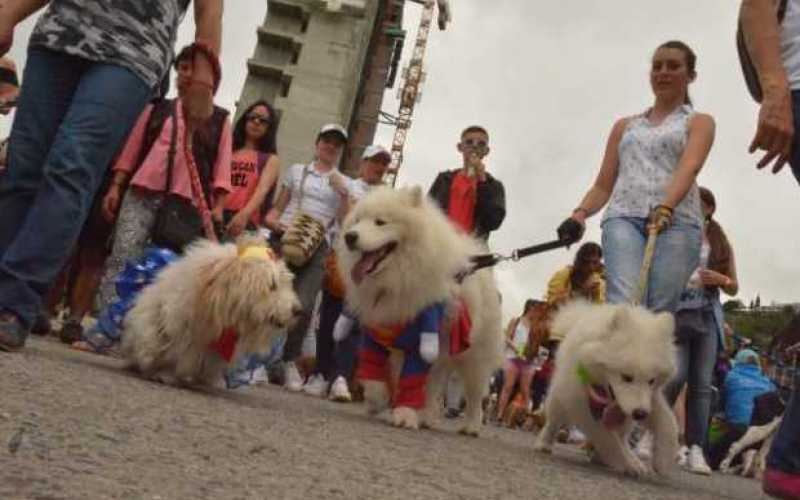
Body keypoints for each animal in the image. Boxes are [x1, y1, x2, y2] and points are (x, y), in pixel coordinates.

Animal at [336, 186, 500, 436]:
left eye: (380, 222)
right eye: (357, 221)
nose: (350, 237)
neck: (395, 282)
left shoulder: (422, 342)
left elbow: (413, 381)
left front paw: (404, 415)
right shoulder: (377, 333)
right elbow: (373, 374)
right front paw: (378, 401)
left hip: (473, 358)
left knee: (473, 396)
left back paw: (471, 426)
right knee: (435, 387)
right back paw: (429, 417)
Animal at [536, 300, 680, 476]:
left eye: (651, 380)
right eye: (626, 377)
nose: (640, 414)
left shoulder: (650, 398)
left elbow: (668, 423)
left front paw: (663, 460)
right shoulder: (583, 407)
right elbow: (609, 440)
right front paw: (626, 464)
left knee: (623, 437)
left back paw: (630, 458)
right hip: (559, 400)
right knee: (553, 422)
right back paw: (544, 444)